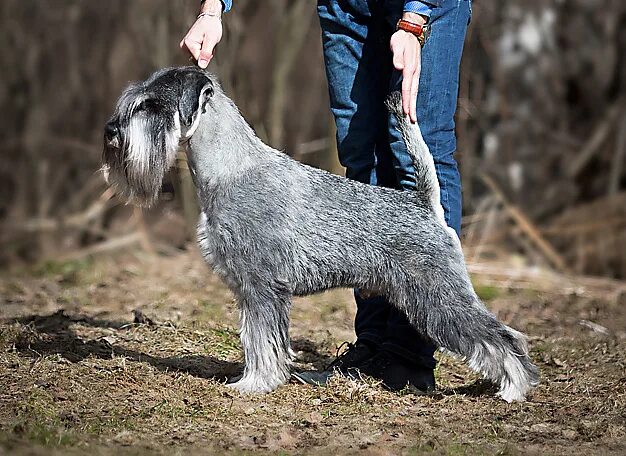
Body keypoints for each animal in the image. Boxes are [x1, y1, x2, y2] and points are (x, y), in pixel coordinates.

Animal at [101, 66, 536, 400]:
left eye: (151, 104)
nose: (110, 131)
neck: (229, 170)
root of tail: (425, 204)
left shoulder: (262, 287)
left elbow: (261, 342)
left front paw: (253, 385)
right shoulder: (250, 290)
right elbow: (255, 339)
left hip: (439, 296)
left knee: (503, 337)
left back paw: (514, 389)